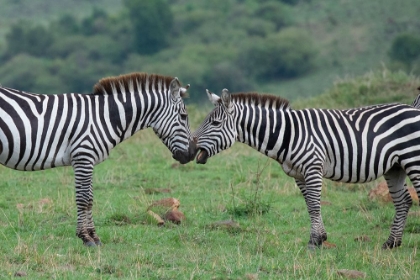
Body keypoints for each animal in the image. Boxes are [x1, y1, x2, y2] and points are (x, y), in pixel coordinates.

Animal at [0, 71, 197, 245]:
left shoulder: (86, 160)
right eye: (183, 116)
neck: (104, 117)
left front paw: (93, 236)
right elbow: (84, 199)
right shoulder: (83, 156)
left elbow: (89, 199)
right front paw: (87, 238)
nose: (193, 153)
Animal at [193, 88, 420, 248]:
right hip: (395, 167)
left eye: (215, 123)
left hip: (413, 159)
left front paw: (315, 240)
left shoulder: (313, 168)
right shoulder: (298, 174)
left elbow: (314, 205)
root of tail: (413, 108)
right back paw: (391, 243)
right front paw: (319, 238)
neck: (288, 133)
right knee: (403, 201)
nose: (192, 144)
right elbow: (310, 205)